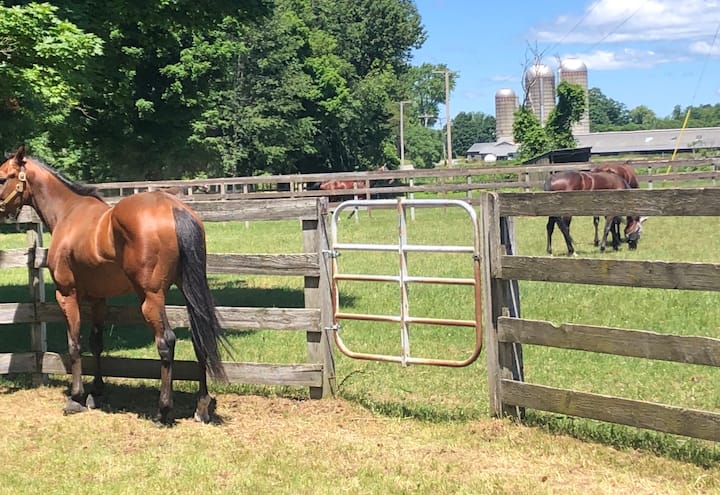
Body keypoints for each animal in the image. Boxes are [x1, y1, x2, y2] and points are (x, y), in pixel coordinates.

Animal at [0, 146, 229, 424]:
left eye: (2, 178)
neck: (68, 212)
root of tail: (174, 209)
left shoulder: (67, 294)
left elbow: (74, 344)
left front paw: (76, 397)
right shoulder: (99, 299)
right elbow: (96, 343)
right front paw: (96, 391)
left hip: (151, 298)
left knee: (166, 342)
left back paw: (163, 410)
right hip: (188, 290)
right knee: (199, 339)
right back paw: (201, 406)